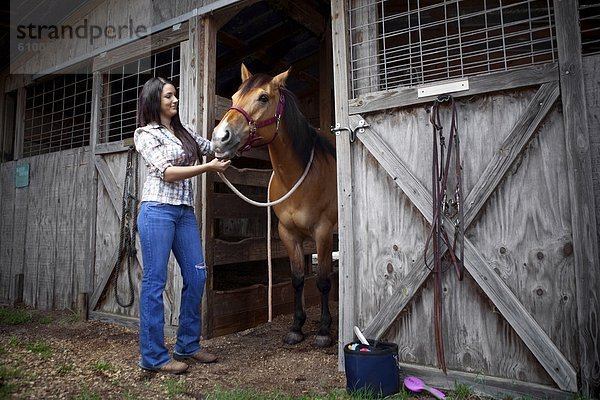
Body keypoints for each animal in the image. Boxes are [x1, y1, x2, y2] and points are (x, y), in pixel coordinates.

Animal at [212, 65, 338, 346]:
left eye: (263, 98)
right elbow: (298, 279)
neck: (299, 176)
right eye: (234, 97)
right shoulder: (288, 233)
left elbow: (323, 280)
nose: (220, 138)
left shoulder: (323, 232)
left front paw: (324, 330)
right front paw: (296, 327)